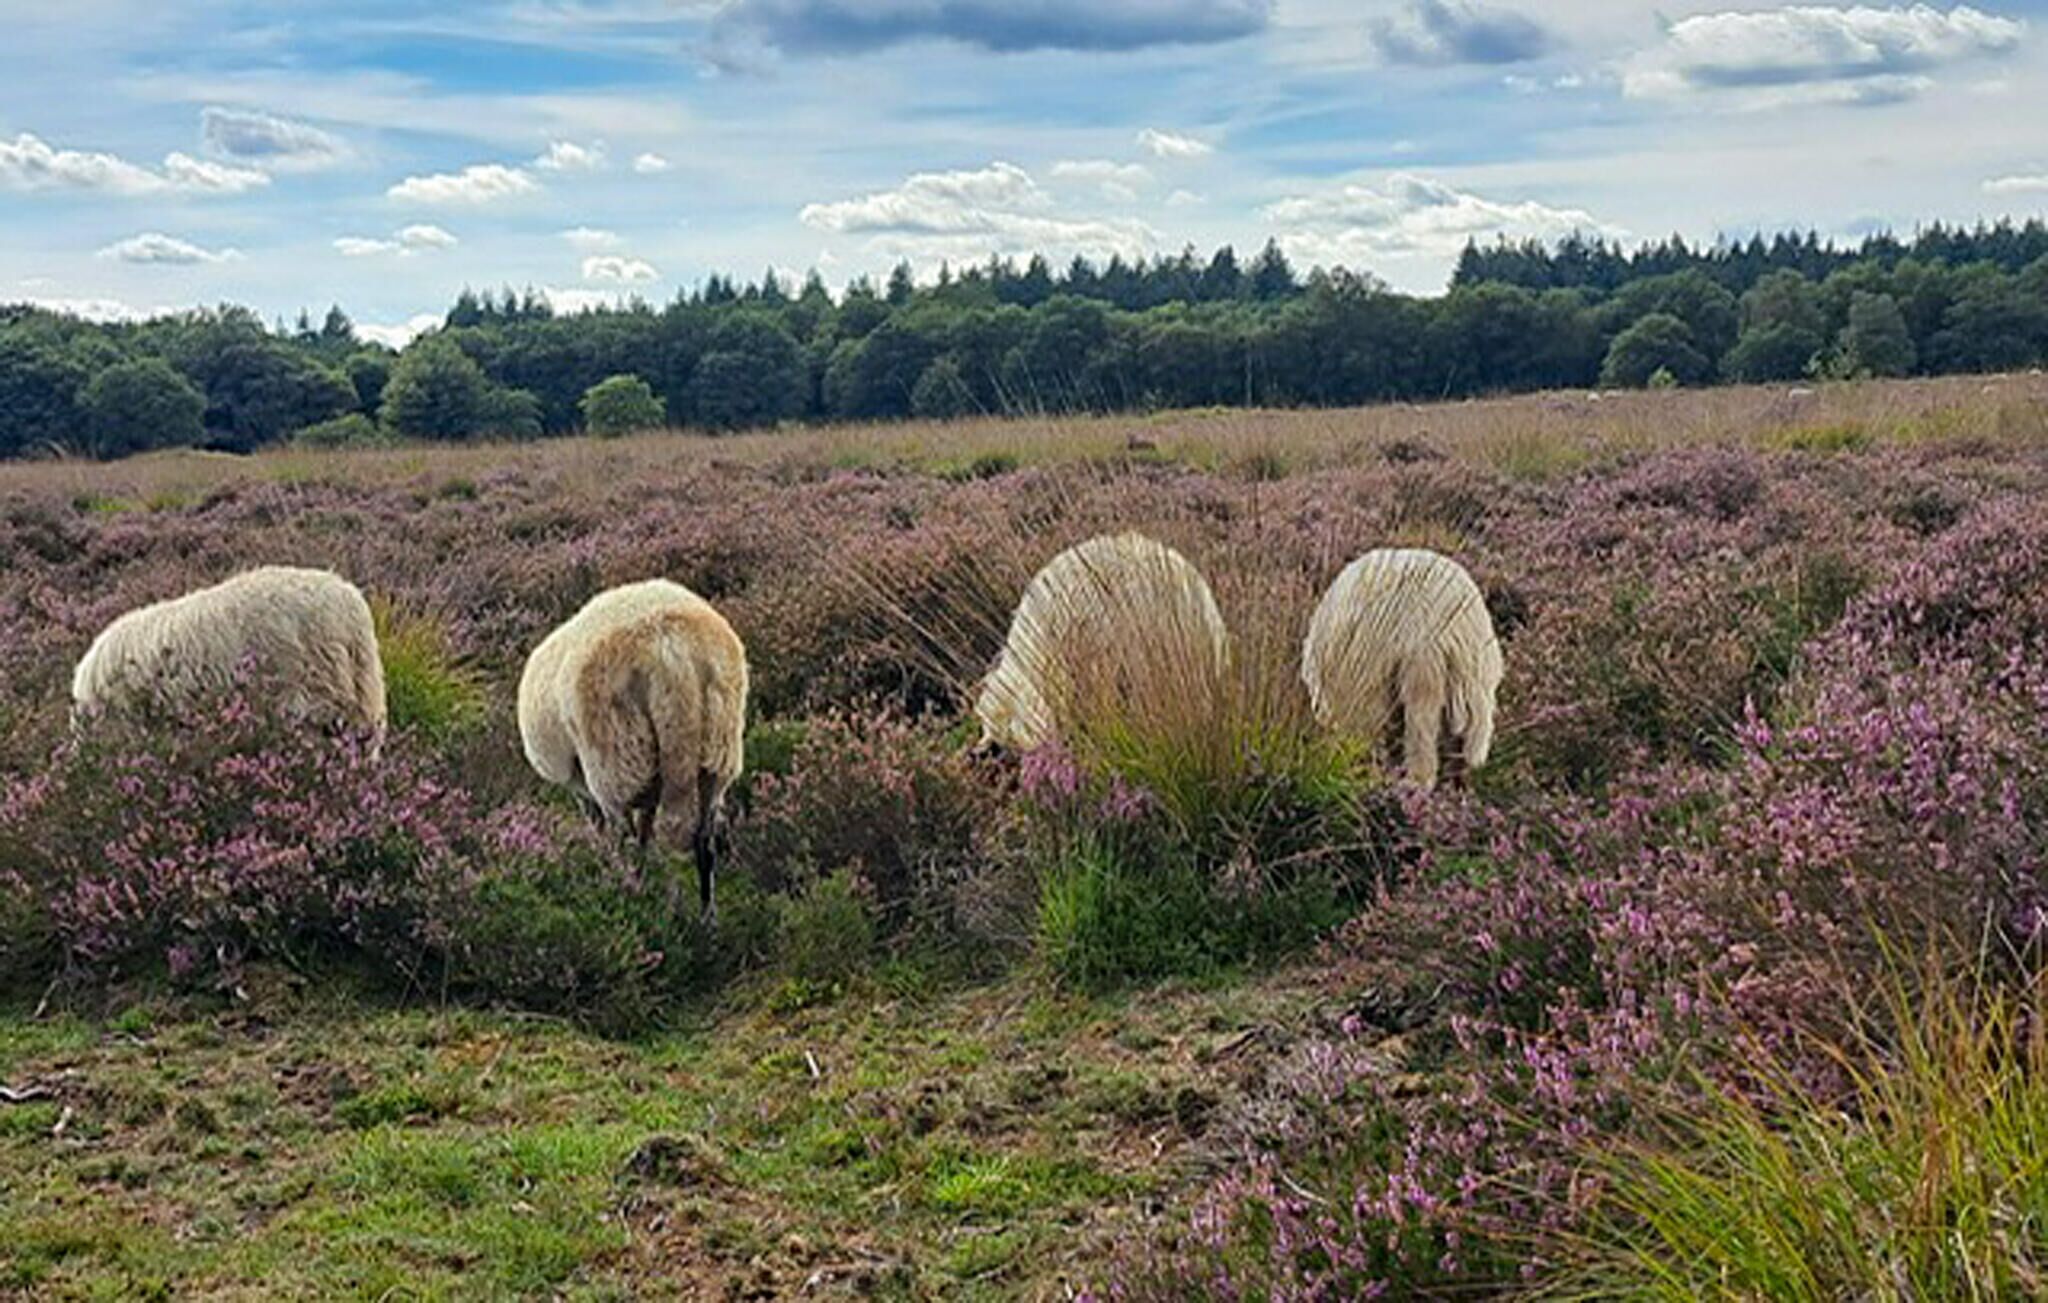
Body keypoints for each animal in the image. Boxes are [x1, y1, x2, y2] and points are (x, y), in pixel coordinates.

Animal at [518, 580, 748, 921]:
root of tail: (669, 653)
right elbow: (645, 831)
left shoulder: (584, 789)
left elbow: (606, 831)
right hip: (717, 751)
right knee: (704, 842)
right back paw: (707, 918)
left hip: (615, 760)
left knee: (623, 841)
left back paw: (625, 895)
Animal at [1300, 548, 1502, 790]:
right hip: (1471, 674)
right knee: (1463, 735)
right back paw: (1455, 783)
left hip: (1414, 660)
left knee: (1420, 723)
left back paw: (1416, 781)